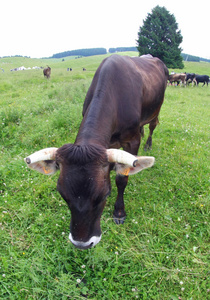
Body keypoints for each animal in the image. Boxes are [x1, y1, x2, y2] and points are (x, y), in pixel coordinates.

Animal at [23, 55, 168, 250]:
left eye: (104, 194)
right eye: (63, 194)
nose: (82, 243)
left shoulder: (132, 140)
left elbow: (122, 178)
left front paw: (119, 211)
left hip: (157, 109)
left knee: (152, 126)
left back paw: (148, 143)